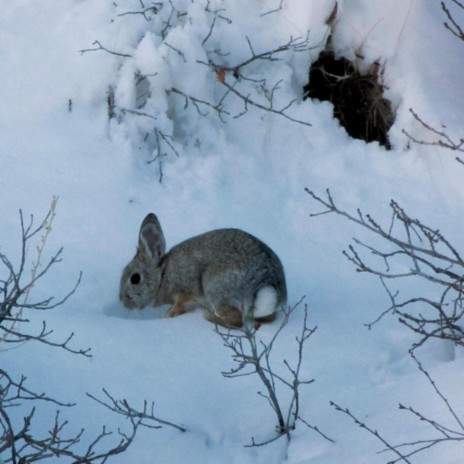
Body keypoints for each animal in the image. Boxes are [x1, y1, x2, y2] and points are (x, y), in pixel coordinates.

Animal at [119, 212, 286, 328]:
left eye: (135, 278)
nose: (123, 300)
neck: (163, 275)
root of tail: (267, 284)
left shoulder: (186, 291)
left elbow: (179, 306)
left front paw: (165, 316)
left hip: (215, 287)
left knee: (236, 320)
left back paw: (210, 317)